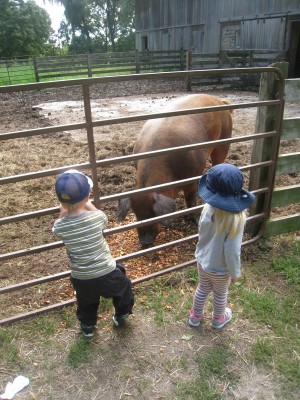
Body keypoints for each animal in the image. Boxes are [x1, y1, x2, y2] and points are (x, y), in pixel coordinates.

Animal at [117, 94, 232, 245]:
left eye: (154, 214)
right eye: (136, 213)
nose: (145, 242)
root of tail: (219, 100)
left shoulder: (192, 177)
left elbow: (190, 199)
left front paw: (194, 220)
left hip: (224, 140)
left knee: (218, 162)